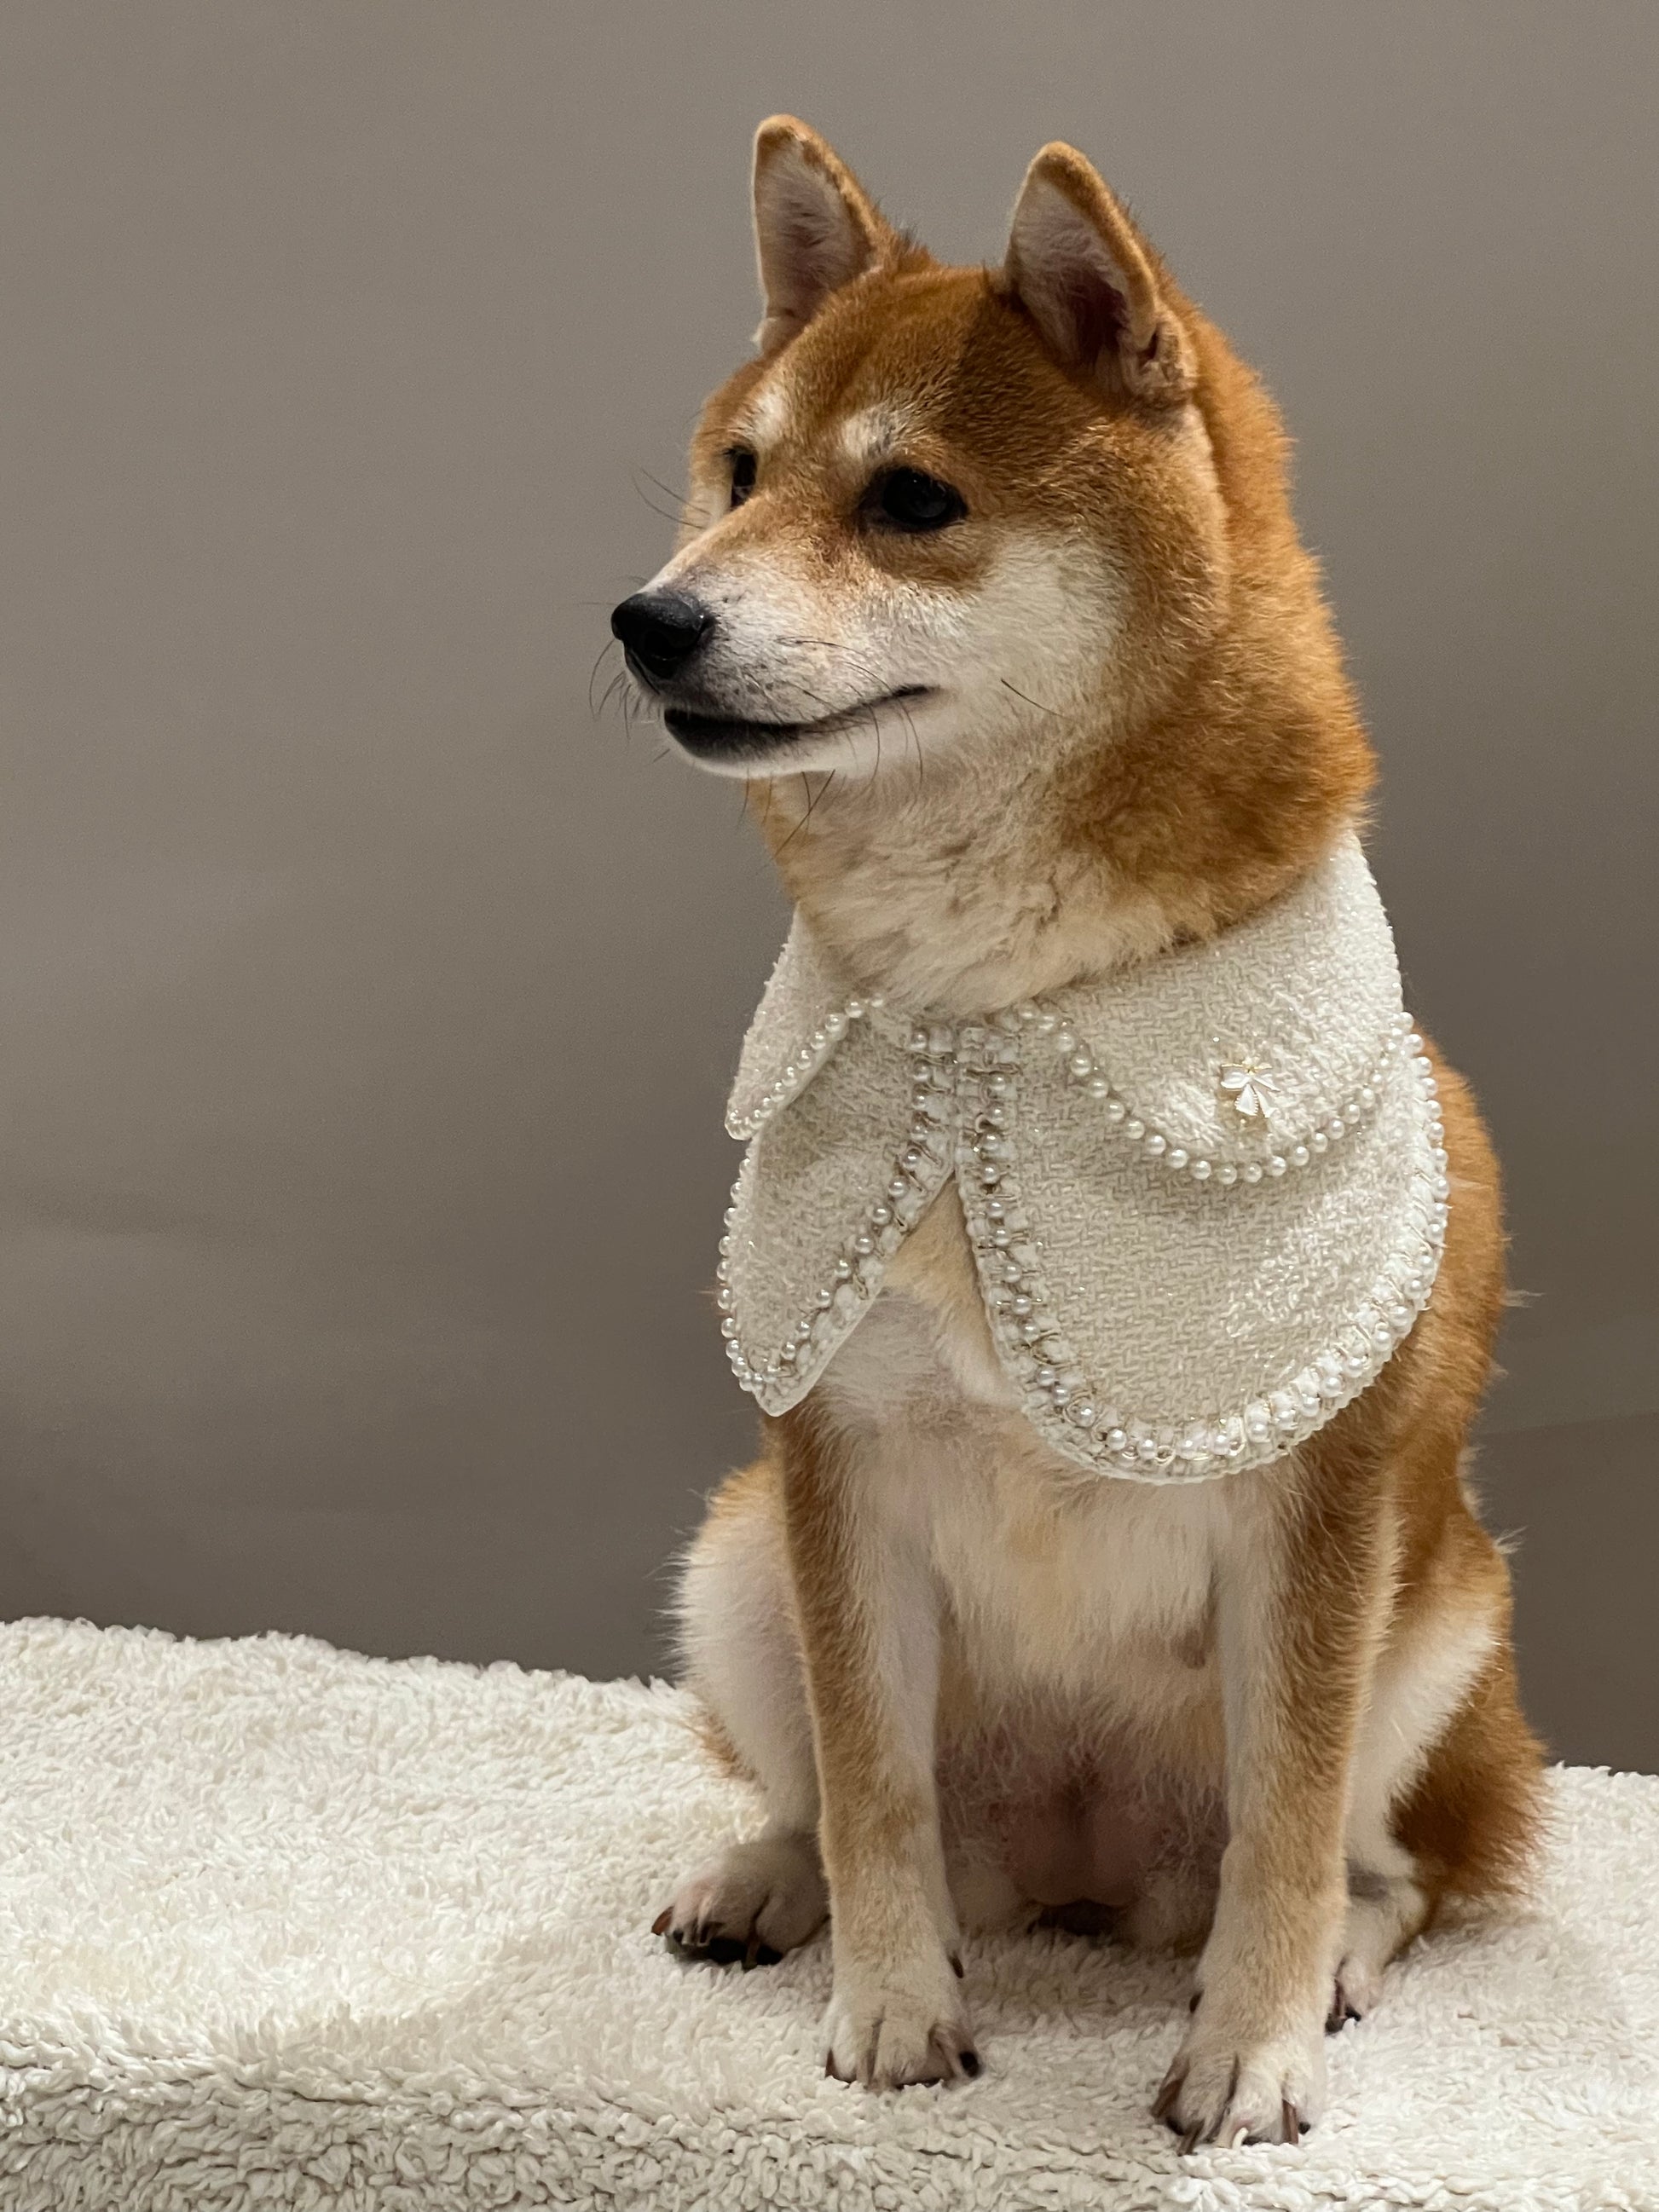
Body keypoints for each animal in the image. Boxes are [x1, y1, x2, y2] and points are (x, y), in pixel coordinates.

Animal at [615, 116, 1548, 2140]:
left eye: (909, 501)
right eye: (738, 477)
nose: (651, 614)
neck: (997, 1024)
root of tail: (1073, 1862)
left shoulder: (1314, 1507)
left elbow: (1287, 1825)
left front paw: (1250, 2045)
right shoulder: (837, 1464)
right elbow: (873, 1788)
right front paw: (889, 2006)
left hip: (1438, 1620)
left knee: (1384, 1864)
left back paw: (1329, 1964)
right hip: (735, 1564)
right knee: (838, 1805)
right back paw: (771, 1886)